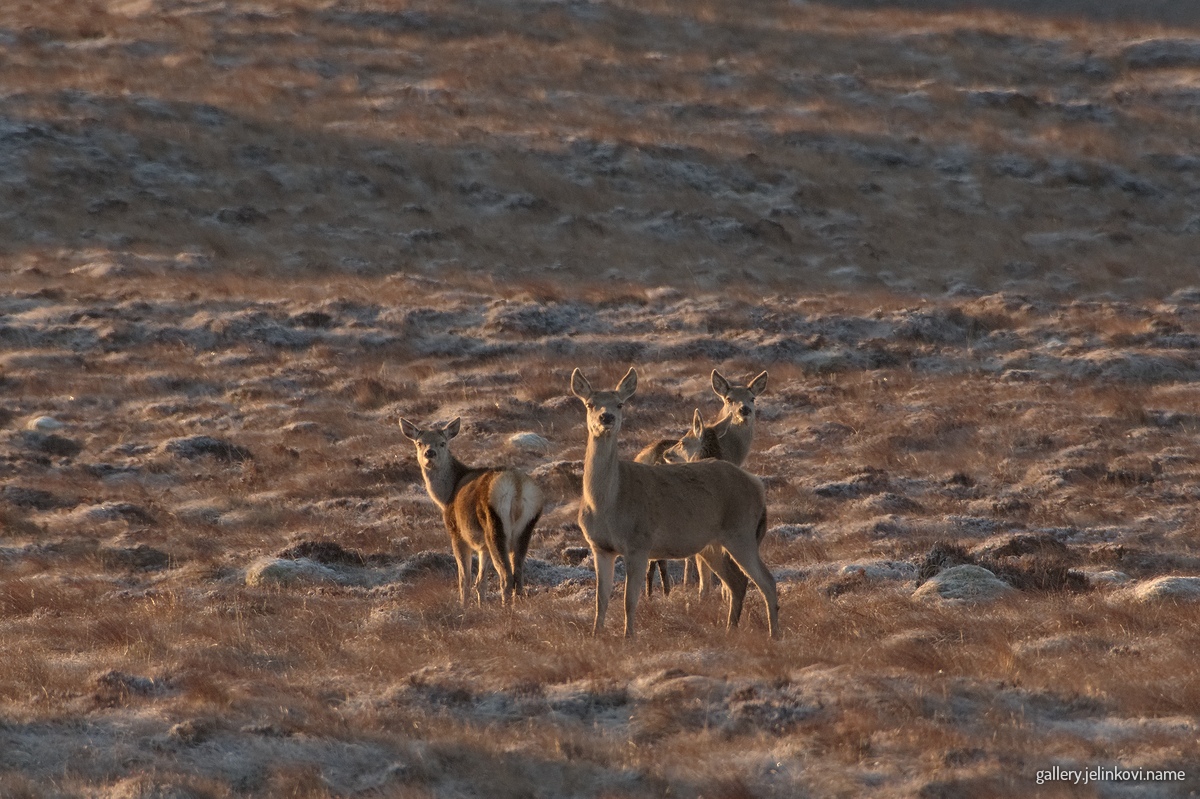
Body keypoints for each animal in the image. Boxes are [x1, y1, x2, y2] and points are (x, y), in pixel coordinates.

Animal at [399, 417, 543, 607]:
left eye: (443, 443)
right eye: (419, 443)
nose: (429, 454)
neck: (445, 497)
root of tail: (517, 486)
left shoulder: (457, 534)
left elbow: (464, 580)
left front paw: (464, 606)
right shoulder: (483, 547)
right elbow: (480, 582)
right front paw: (482, 606)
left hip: (495, 525)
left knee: (506, 576)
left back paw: (505, 610)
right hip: (525, 528)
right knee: (518, 574)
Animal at [571, 367, 779, 639]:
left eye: (620, 403)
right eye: (590, 403)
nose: (606, 417)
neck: (607, 504)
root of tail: (757, 486)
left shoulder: (639, 543)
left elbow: (629, 599)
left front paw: (629, 637)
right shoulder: (599, 547)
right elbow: (601, 599)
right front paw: (596, 635)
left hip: (741, 531)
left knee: (767, 580)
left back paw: (774, 635)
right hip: (712, 543)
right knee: (737, 581)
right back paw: (730, 629)